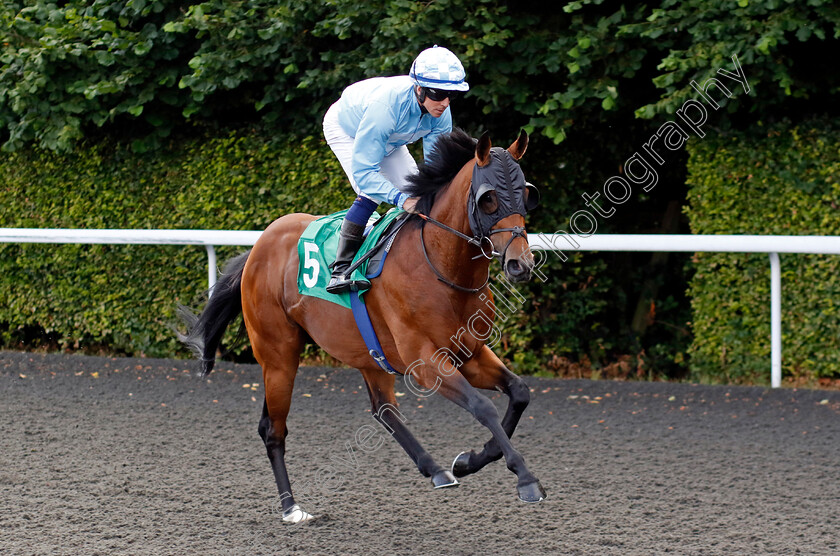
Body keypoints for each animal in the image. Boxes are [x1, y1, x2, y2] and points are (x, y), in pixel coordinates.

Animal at [178, 128, 544, 524]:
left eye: (526, 192)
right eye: (489, 198)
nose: (521, 264)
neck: (440, 267)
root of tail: (258, 246)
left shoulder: (471, 353)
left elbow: (519, 393)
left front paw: (468, 461)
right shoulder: (427, 363)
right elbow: (484, 407)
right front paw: (526, 478)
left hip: (370, 355)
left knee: (383, 409)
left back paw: (436, 470)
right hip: (278, 356)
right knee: (272, 429)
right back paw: (292, 507)